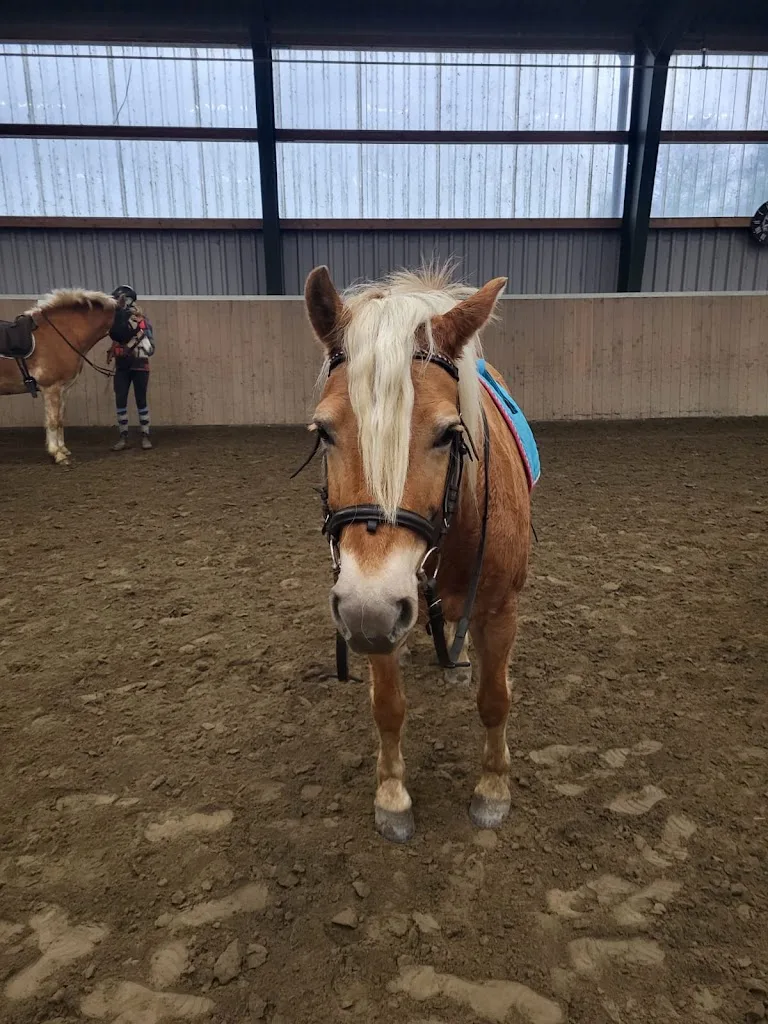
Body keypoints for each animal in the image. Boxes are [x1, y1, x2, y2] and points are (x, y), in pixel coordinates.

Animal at [0, 290, 116, 465]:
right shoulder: (51, 388)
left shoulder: (63, 389)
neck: (60, 334)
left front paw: (63, 449)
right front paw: (57, 454)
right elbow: (53, 421)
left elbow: (60, 419)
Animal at [303, 265, 532, 842]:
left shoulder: (499, 611)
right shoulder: (374, 608)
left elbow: (495, 699)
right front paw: (392, 796)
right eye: (324, 431)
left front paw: (492, 789)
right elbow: (388, 708)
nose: (369, 612)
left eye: (449, 434)